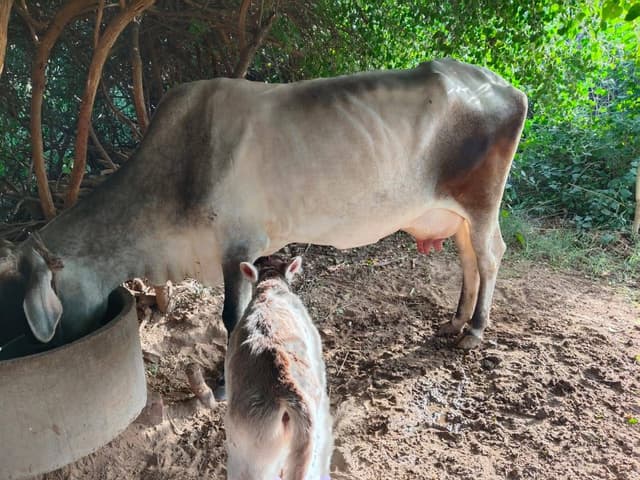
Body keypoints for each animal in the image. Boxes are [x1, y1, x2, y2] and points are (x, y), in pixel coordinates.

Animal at [0, 58, 527, 373]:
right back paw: (455, 321)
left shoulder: (237, 247)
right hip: (454, 214)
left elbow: (232, 317)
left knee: (490, 256)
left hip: (481, 203)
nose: (49, 347)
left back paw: (474, 330)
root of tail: (506, 87)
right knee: (468, 260)